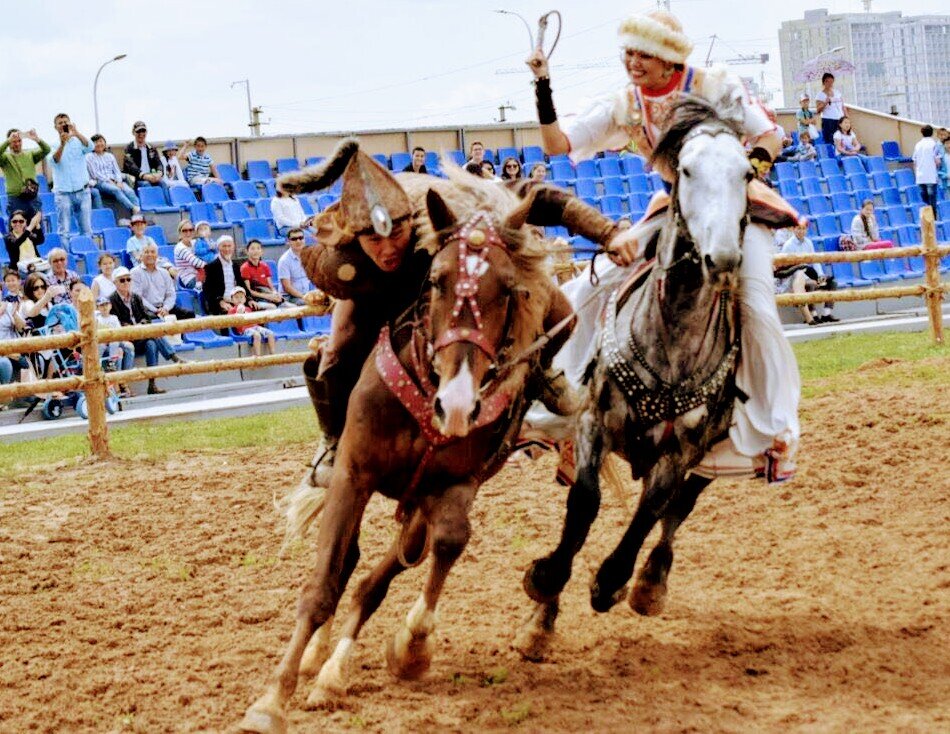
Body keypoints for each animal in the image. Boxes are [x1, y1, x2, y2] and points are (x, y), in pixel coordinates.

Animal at [242, 174, 560, 734]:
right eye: (436, 280)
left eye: (508, 289)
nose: (457, 404)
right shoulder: (353, 475)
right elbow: (322, 585)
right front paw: (272, 700)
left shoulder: (455, 486)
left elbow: (448, 543)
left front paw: (412, 646)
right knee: (347, 564)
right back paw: (317, 659)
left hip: (418, 505)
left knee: (377, 574)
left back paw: (333, 671)